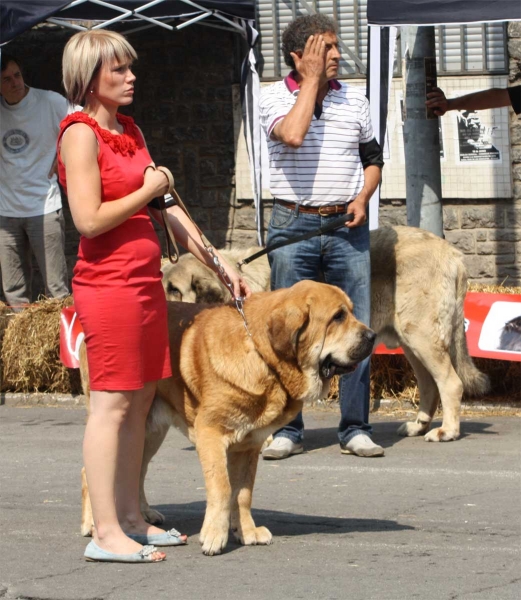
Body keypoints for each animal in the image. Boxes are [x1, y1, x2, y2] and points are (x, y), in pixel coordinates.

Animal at [80, 284, 374, 556]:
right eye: (338, 317)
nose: (373, 336)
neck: (262, 356)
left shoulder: (248, 446)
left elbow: (242, 493)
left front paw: (246, 531)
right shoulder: (210, 434)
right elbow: (221, 487)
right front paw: (214, 535)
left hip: (149, 431)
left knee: (137, 470)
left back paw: (145, 516)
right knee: (91, 469)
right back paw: (93, 524)